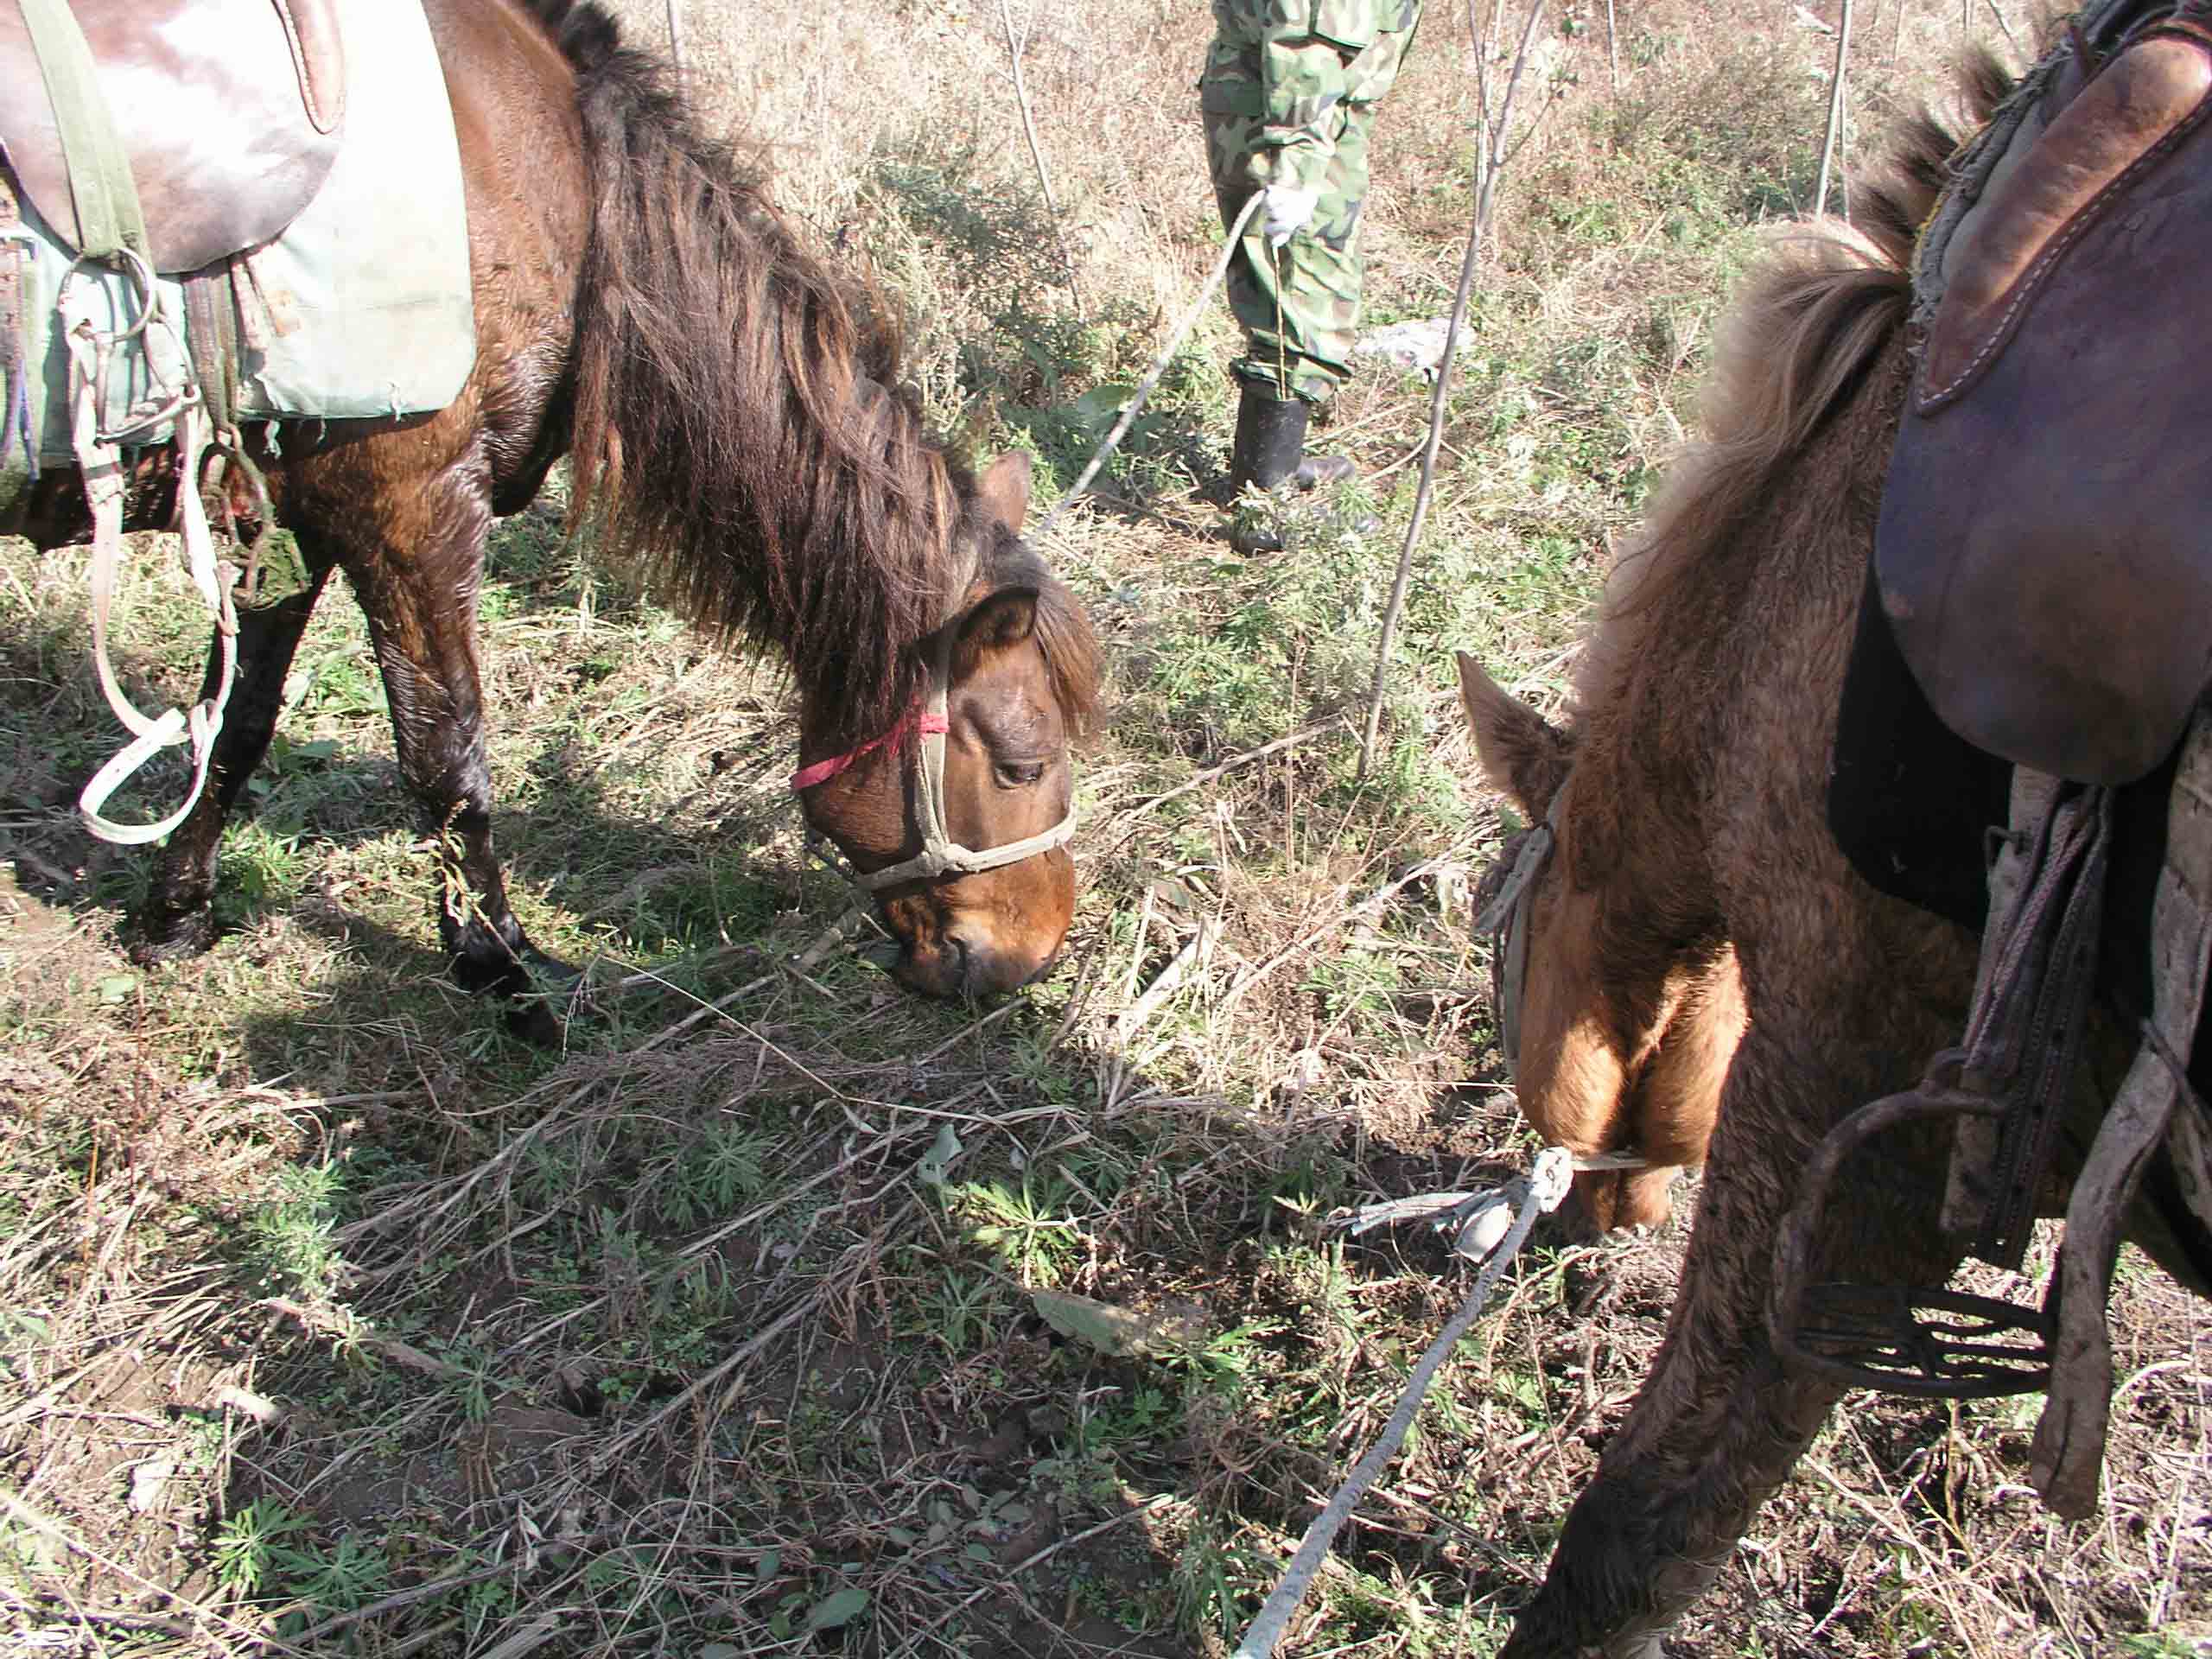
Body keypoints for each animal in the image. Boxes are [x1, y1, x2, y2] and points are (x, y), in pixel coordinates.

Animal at [2, 0, 1096, 1021]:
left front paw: (174, 916)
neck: (563, 182)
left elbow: (236, 721)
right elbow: (446, 758)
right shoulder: (414, 510)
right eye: (1020, 764)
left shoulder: (283, 516)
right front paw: (502, 969)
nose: (1033, 952)